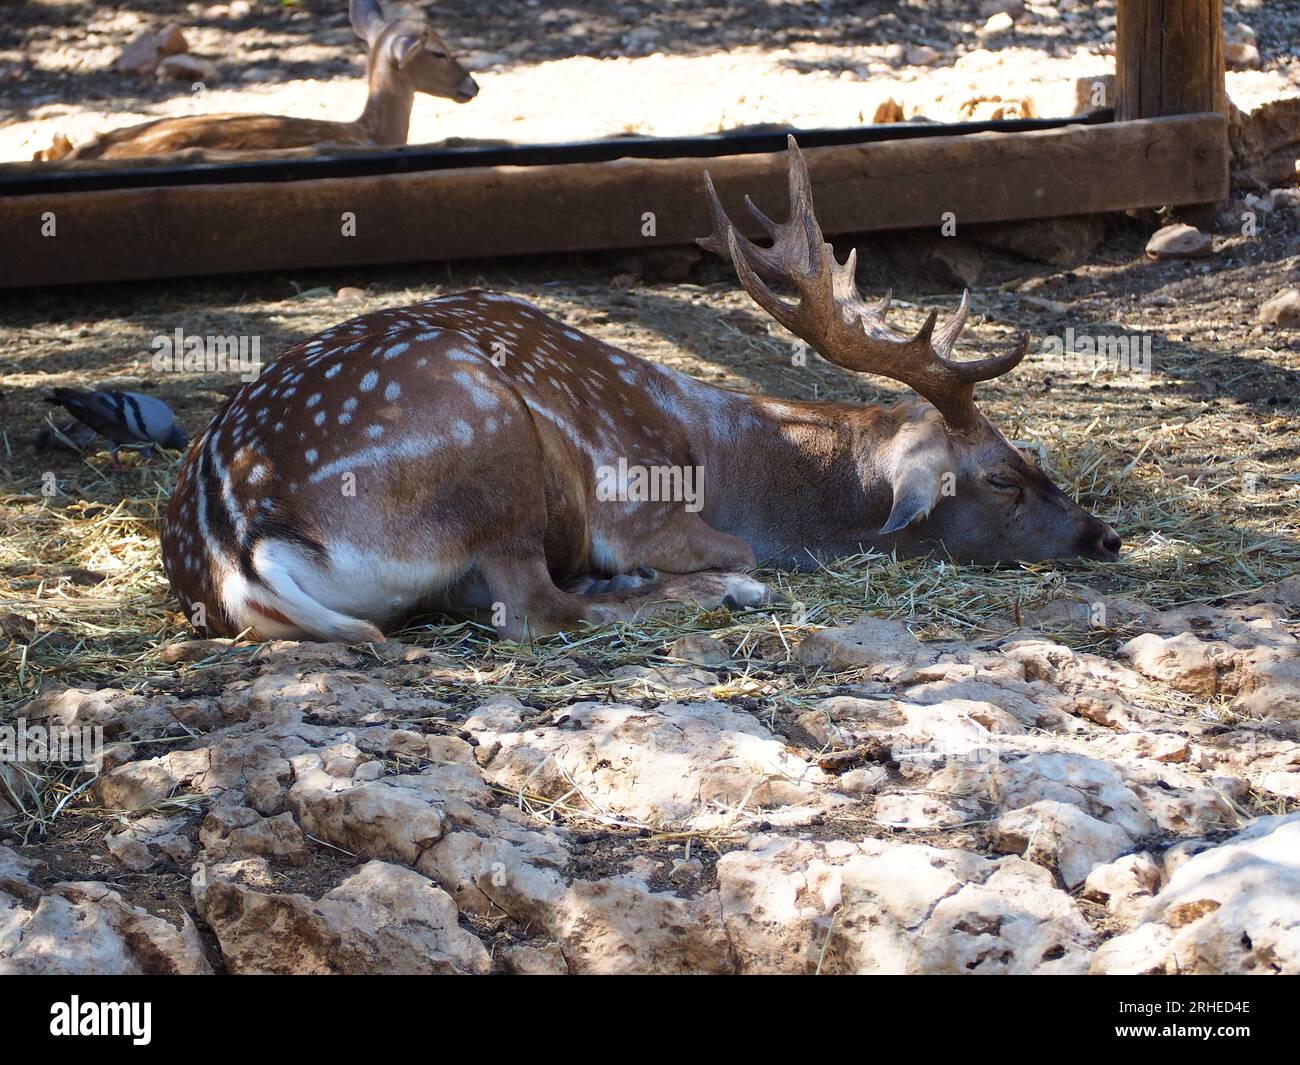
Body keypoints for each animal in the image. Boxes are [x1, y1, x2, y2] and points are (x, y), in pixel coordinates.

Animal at [161, 137, 1121, 644]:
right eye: (1001, 476)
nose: (1104, 535)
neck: (727, 456)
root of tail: (235, 538)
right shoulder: (641, 503)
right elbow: (733, 548)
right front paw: (718, 575)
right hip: (489, 441)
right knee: (532, 606)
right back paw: (707, 592)